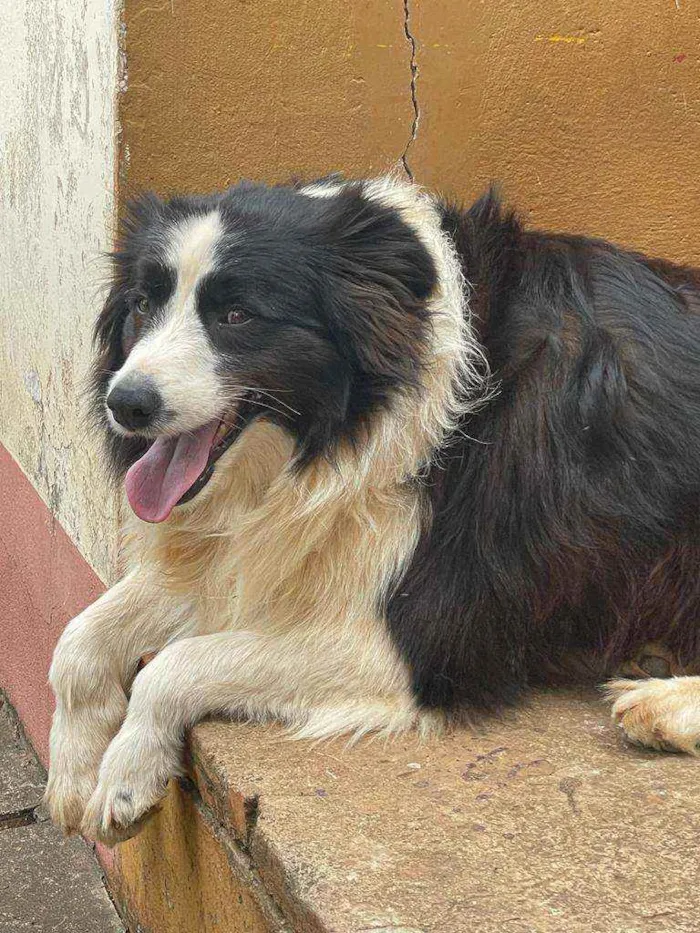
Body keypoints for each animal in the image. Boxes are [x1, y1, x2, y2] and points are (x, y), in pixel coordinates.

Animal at [43, 175, 700, 844]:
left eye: (236, 315)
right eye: (142, 306)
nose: (126, 404)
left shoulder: (420, 634)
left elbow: (174, 665)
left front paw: (125, 779)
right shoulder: (244, 550)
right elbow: (76, 640)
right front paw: (72, 776)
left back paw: (663, 704)